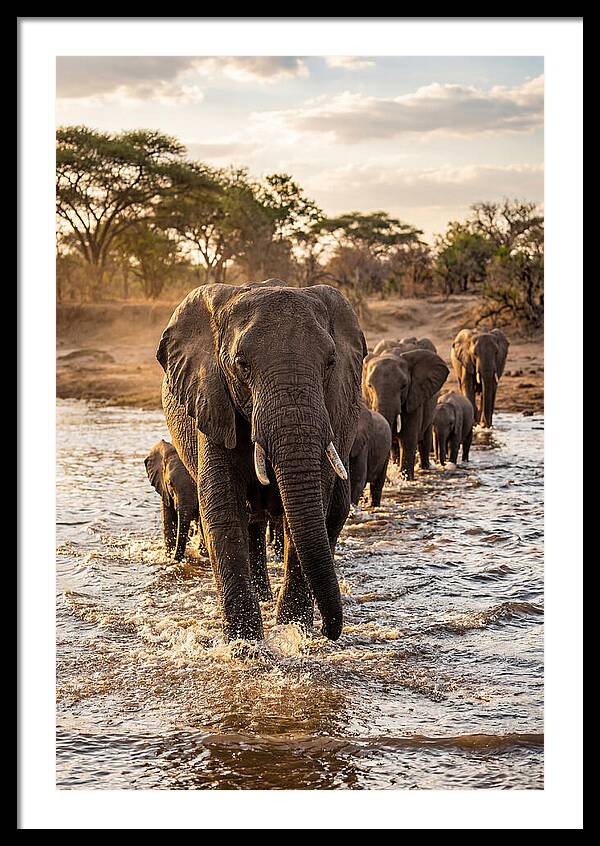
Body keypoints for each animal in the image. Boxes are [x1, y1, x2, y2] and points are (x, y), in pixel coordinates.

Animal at [156, 281, 366, 642]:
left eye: (330, 362)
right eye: (241, 365)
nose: (330, 631)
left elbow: (311, 508)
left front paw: (294, 632)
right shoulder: (212, 400)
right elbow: (223, 511)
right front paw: (245, 646)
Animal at [362, 348, 449, 480]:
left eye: (403, 386)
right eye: (369, 386)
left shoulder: (414, 397)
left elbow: (408, 440)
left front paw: (406, 479)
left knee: (425, 439)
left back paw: (425, 468)